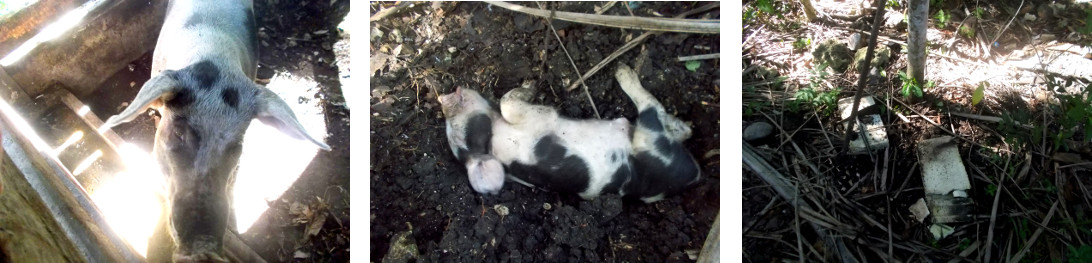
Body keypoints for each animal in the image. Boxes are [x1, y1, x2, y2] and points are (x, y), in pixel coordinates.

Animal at [436, 62, 698, 201]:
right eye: (463, 130)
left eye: (451, 122)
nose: (445, 99)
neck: (496, 140)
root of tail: (692, 176)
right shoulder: (537, 118)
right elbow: (507, 102)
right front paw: (532, 85)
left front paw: (529, 82)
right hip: (648, 139)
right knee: (652, 107)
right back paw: (623, 71)